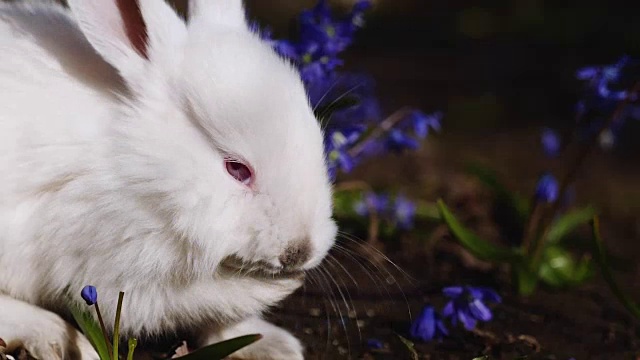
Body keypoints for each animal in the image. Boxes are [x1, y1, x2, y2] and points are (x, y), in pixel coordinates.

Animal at [0, 0, 338, 358]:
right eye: (236, 169)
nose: (299, 252)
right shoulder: (104, 270)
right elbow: (197, 299)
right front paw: (274, 289)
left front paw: (273, 344)